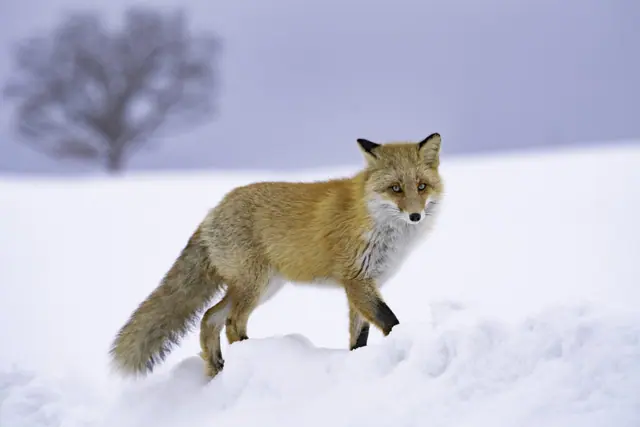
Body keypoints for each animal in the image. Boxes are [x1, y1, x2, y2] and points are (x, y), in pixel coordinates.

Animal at [109, 132, 444, 379]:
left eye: (421, 186)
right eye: (395, 188)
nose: (415, 216)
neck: (374, 220)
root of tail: (214, 210)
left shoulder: (364, 284)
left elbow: (358, 336)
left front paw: (357, 362)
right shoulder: (356, 281)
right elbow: (390, 322)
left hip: (260, 286)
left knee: (209, 318)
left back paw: (218, 369)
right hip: (254, 286)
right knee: (231, 322)